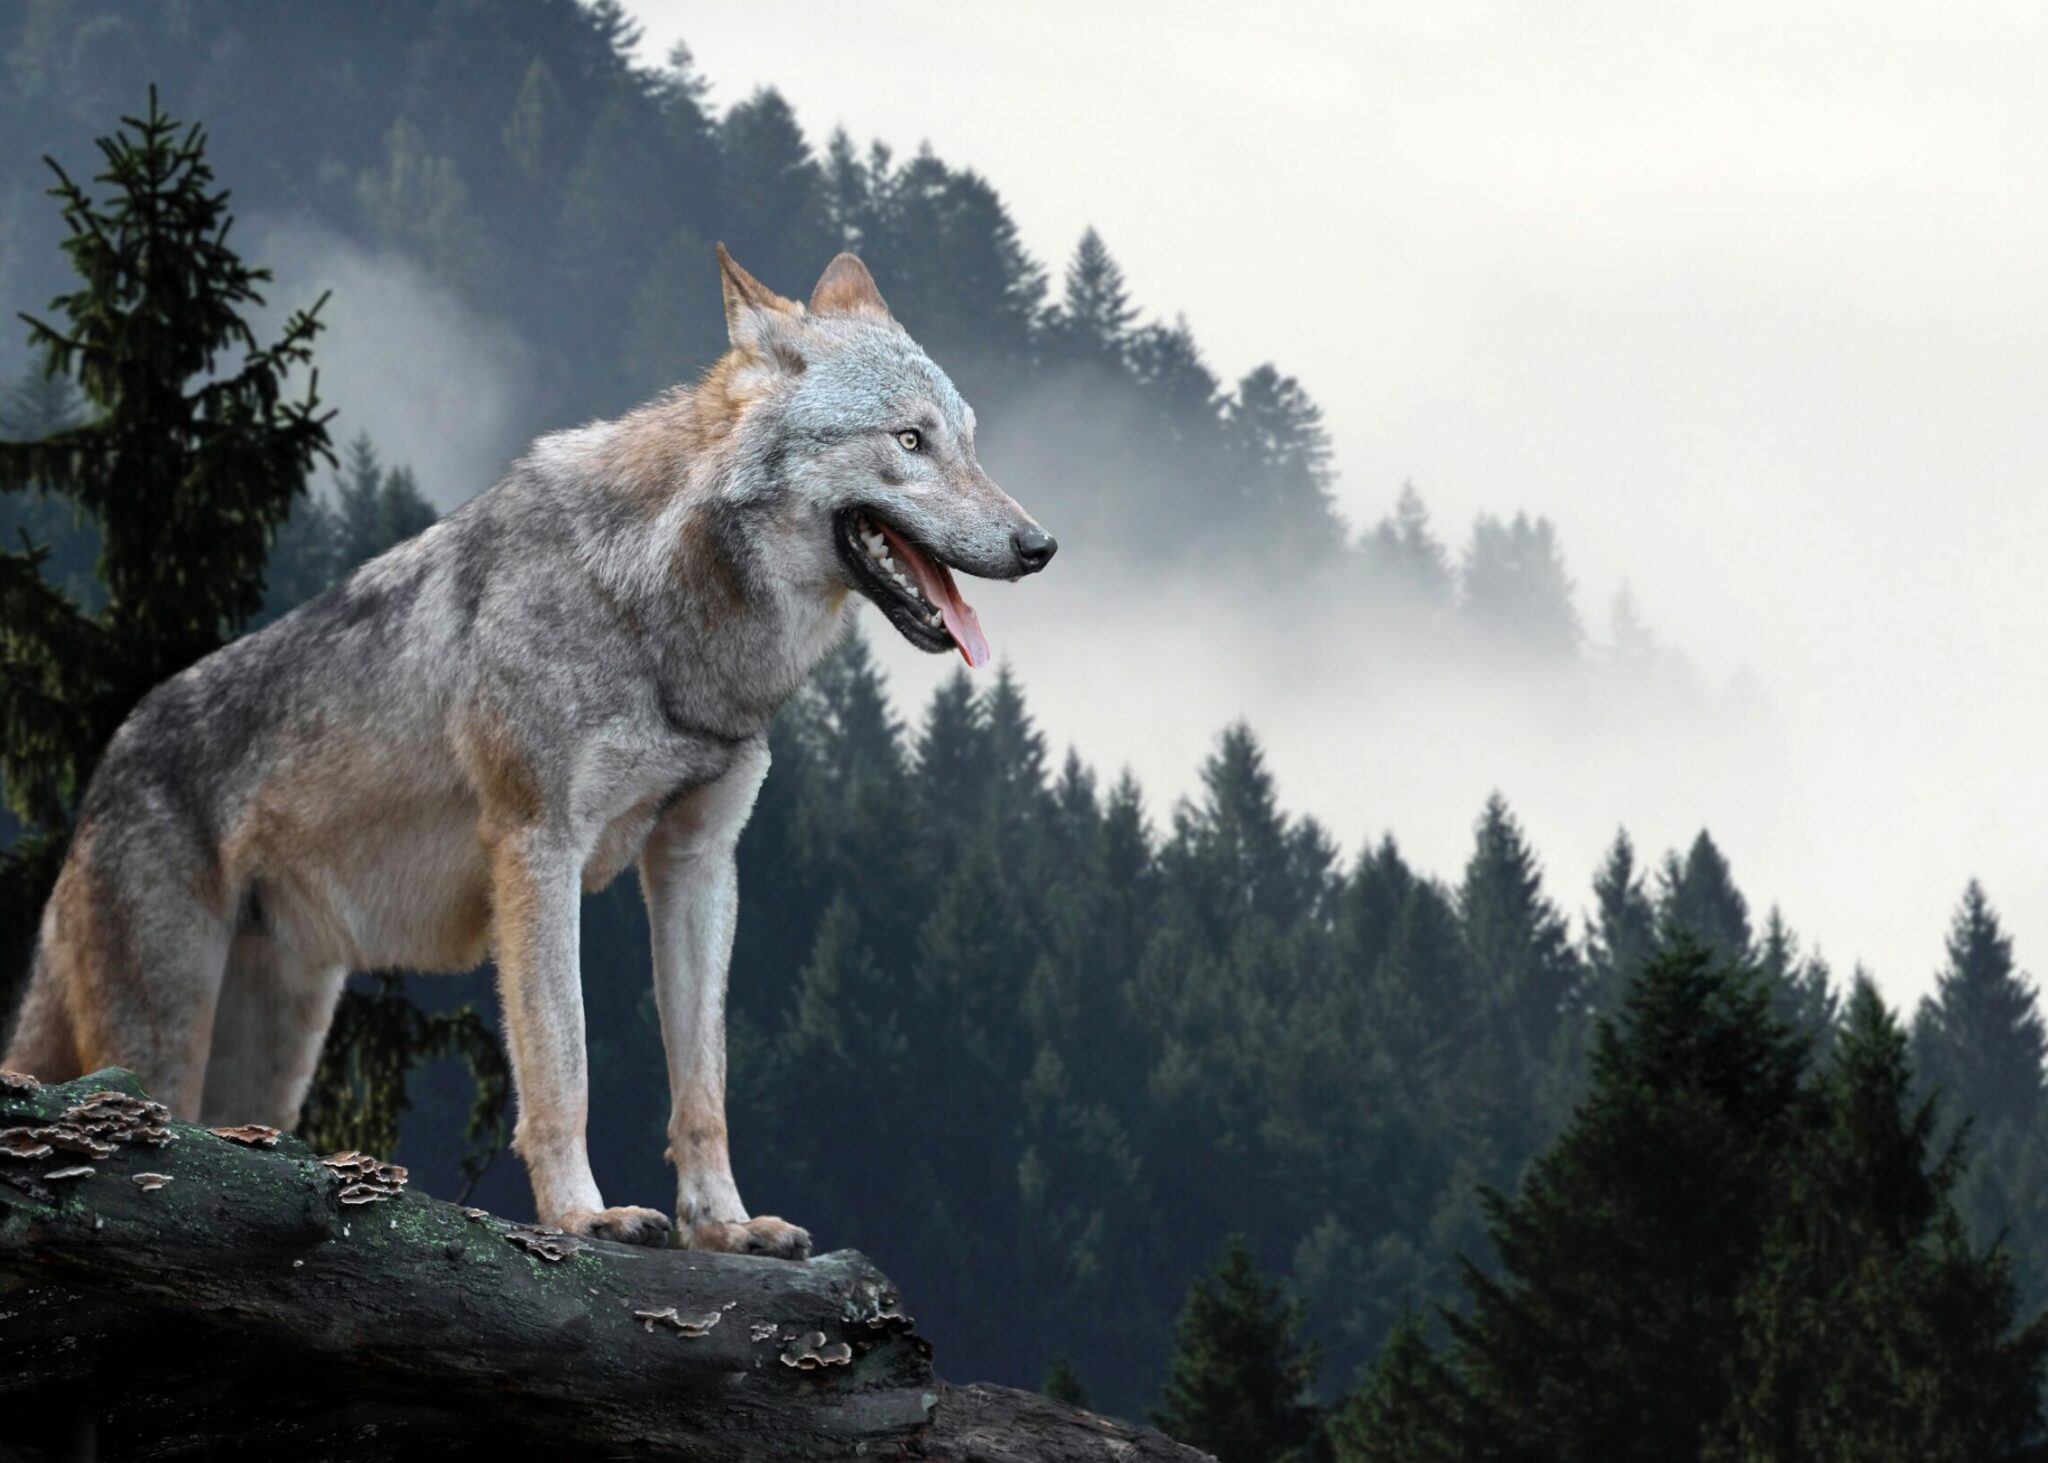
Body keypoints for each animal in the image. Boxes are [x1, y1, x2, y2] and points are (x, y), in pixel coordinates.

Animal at [0, 244, 1056, 1245]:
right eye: (909, 440)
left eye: (968, 441)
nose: (1040, 546)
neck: (661, 616)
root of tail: (105, 766)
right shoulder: (539, 847)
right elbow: (564, 1059)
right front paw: (583, 1217)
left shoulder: (700, 861)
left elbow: (703, 1083)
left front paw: (723, 1225)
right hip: (163, 1043)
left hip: (271, 1061)